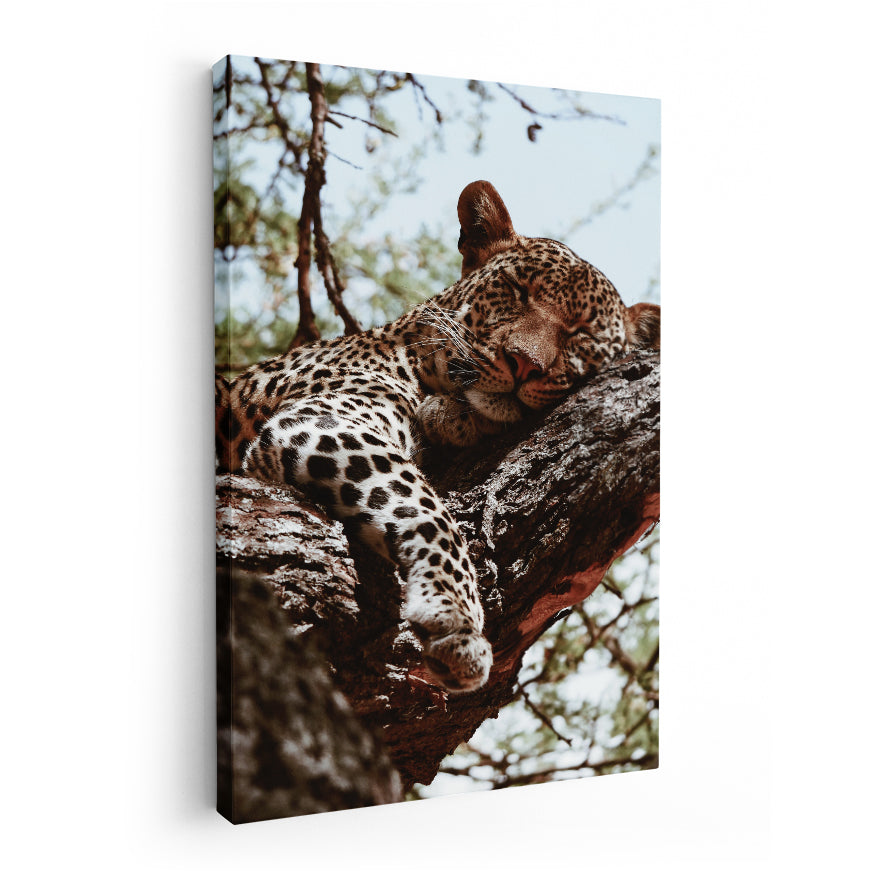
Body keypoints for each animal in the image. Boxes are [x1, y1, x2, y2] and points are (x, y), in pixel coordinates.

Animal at [216, 180, 660, 694]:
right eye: (517, 292)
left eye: (580, 333)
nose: (524, 362)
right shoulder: (324, 419)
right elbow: (427, 510)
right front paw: (456, 617)